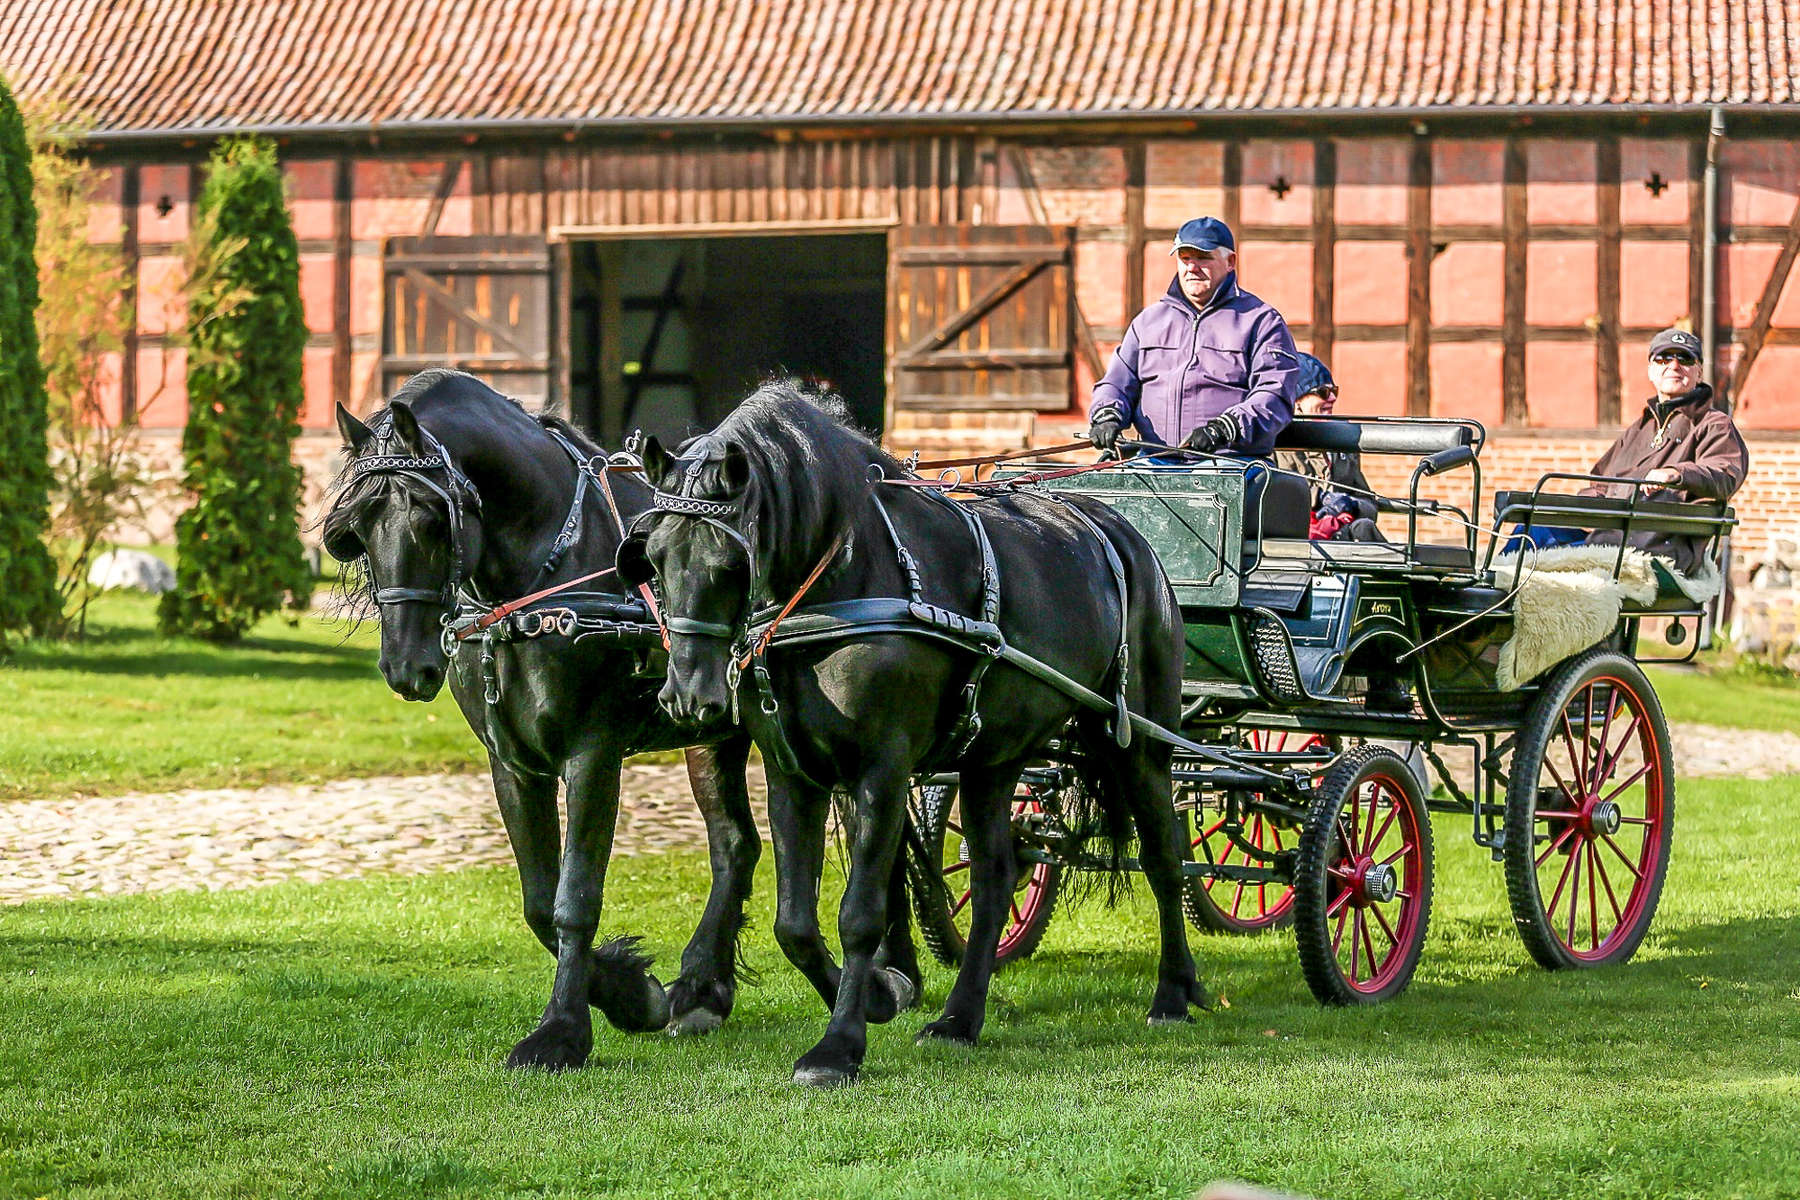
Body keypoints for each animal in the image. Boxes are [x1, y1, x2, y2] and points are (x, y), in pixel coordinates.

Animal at [322, 370, 774, 1072]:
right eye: (360, 527)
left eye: (430, 518)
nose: (405, 665)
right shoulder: (513, 762)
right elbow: (539, 900)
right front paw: (629, 992)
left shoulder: (593, 754)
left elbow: (575, 898)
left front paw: (563, 1029)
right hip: (713, 729)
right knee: (734, 845)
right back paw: (704, 986)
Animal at [630, 385, 1209, 1086]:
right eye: (654, 557)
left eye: (729, 561)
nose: (689, 696)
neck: (841, 579)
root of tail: (1126, 535)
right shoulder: (793, 772)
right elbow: (794, 921)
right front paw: (879, 995)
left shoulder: (883, 770)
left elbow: (859, 914)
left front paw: (839, 1045)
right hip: (994, 760)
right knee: (995, 878)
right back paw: (960, 1018)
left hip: (1139, 744)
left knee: (1163, 858)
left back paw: (1173, 994)